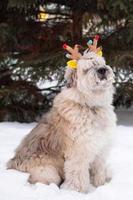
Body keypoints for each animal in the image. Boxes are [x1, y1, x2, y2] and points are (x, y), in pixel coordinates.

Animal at [6, 50, 116, 193]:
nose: (102, 70)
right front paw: (77, 192)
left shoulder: (100, 149)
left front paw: (100, 185)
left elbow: (98, 171)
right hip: (48, 172)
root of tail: (10, 166)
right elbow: (78, 176)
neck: (90, 106)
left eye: (101, 63)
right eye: (87, 68)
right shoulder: (79, 153)